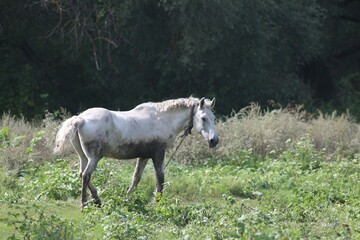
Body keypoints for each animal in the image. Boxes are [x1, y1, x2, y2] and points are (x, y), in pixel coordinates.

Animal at [52, 96, 218, 207]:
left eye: (214, 117)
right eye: (203, 118)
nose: (214, 140)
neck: (162, 119)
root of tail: (80, 119)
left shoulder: (143, 156)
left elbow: (136, 178)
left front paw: (127, 197)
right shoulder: (158, 154)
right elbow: (160, 178)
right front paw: (158, 201)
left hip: (84, 157)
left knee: (82, 174)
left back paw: (97, 199)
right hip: (94, 157)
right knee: (86, 175)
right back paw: (85, 203)